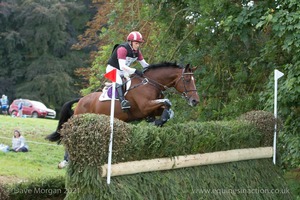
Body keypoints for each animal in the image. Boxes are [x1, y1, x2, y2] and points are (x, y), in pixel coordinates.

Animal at [46, 62, 199, 167]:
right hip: (81, 121)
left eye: (194, 80)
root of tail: (81, 100)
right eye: (187, 80)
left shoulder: (152, 108)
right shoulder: (145, 106)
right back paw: (65, 161)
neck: (150, 84)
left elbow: (168, 108)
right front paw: (158, 121)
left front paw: (157, 121)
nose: (195, 101)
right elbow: (168, 102)